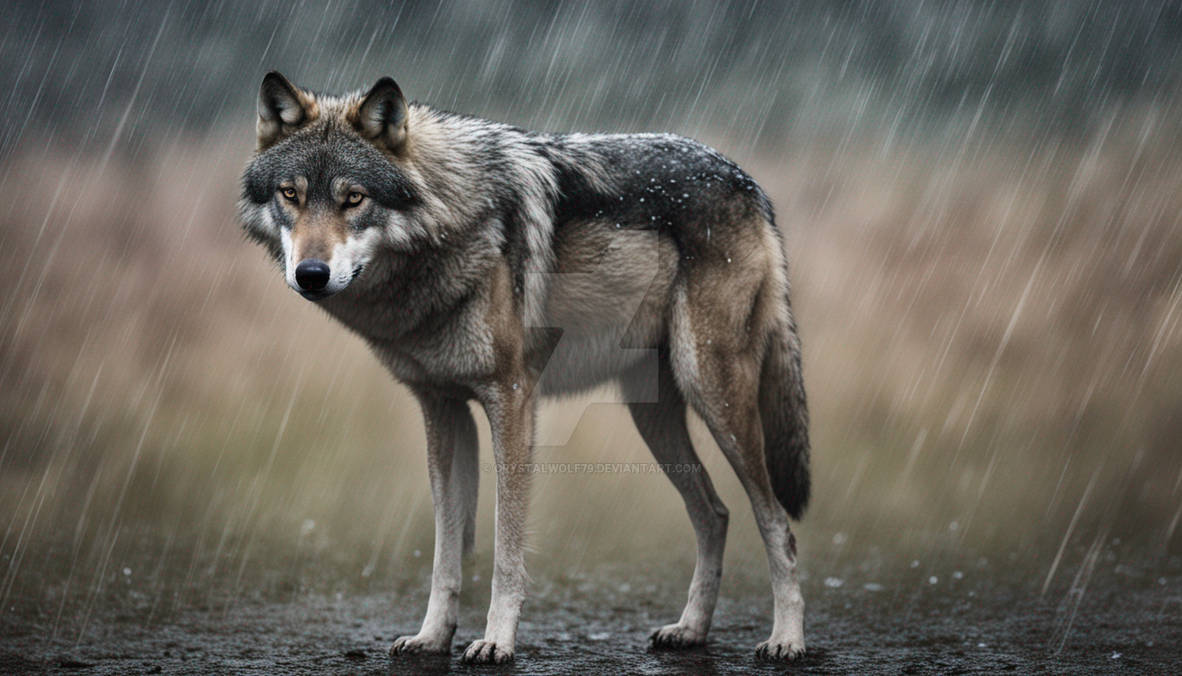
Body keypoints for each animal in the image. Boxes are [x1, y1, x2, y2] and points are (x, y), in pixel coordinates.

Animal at [239, 72, 811, 664]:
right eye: (290, 194)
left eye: (353, 198)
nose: (310, 273)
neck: (454, 221)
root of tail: (749, 183)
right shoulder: (442, 407)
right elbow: (447, 549)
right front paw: (432, 636)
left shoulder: (511, 398)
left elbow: (506, 547)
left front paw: (496, 641)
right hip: (652, 417)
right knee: (715, 513)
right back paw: (691, 629)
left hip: (716, 395)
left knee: (777, 524)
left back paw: (786, 640)